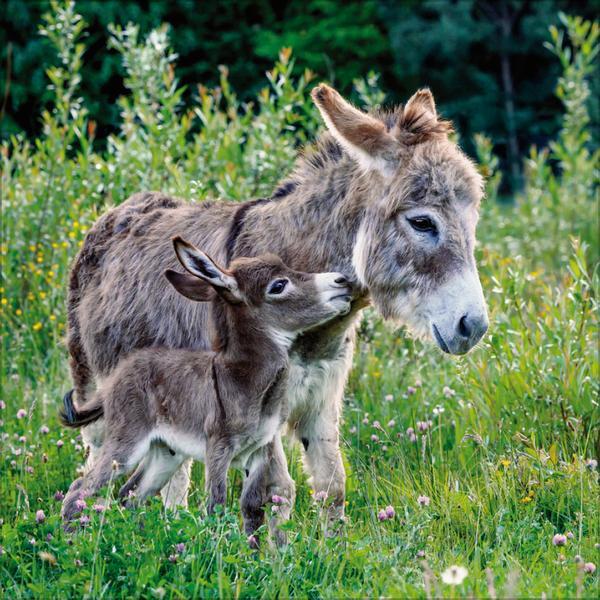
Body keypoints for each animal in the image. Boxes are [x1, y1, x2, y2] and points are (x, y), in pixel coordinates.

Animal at [59, 237, 352, 536]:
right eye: (279, 285)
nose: (342, 280)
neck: (243, 380)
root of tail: (118, 375)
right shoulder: (218, 449)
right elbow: (216, 506)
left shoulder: (258, 452)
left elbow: (253, 507)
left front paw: (259, 549)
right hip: (127, 443)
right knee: (82, 488)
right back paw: (72, 540)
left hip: (166, 453)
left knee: (130, 495)